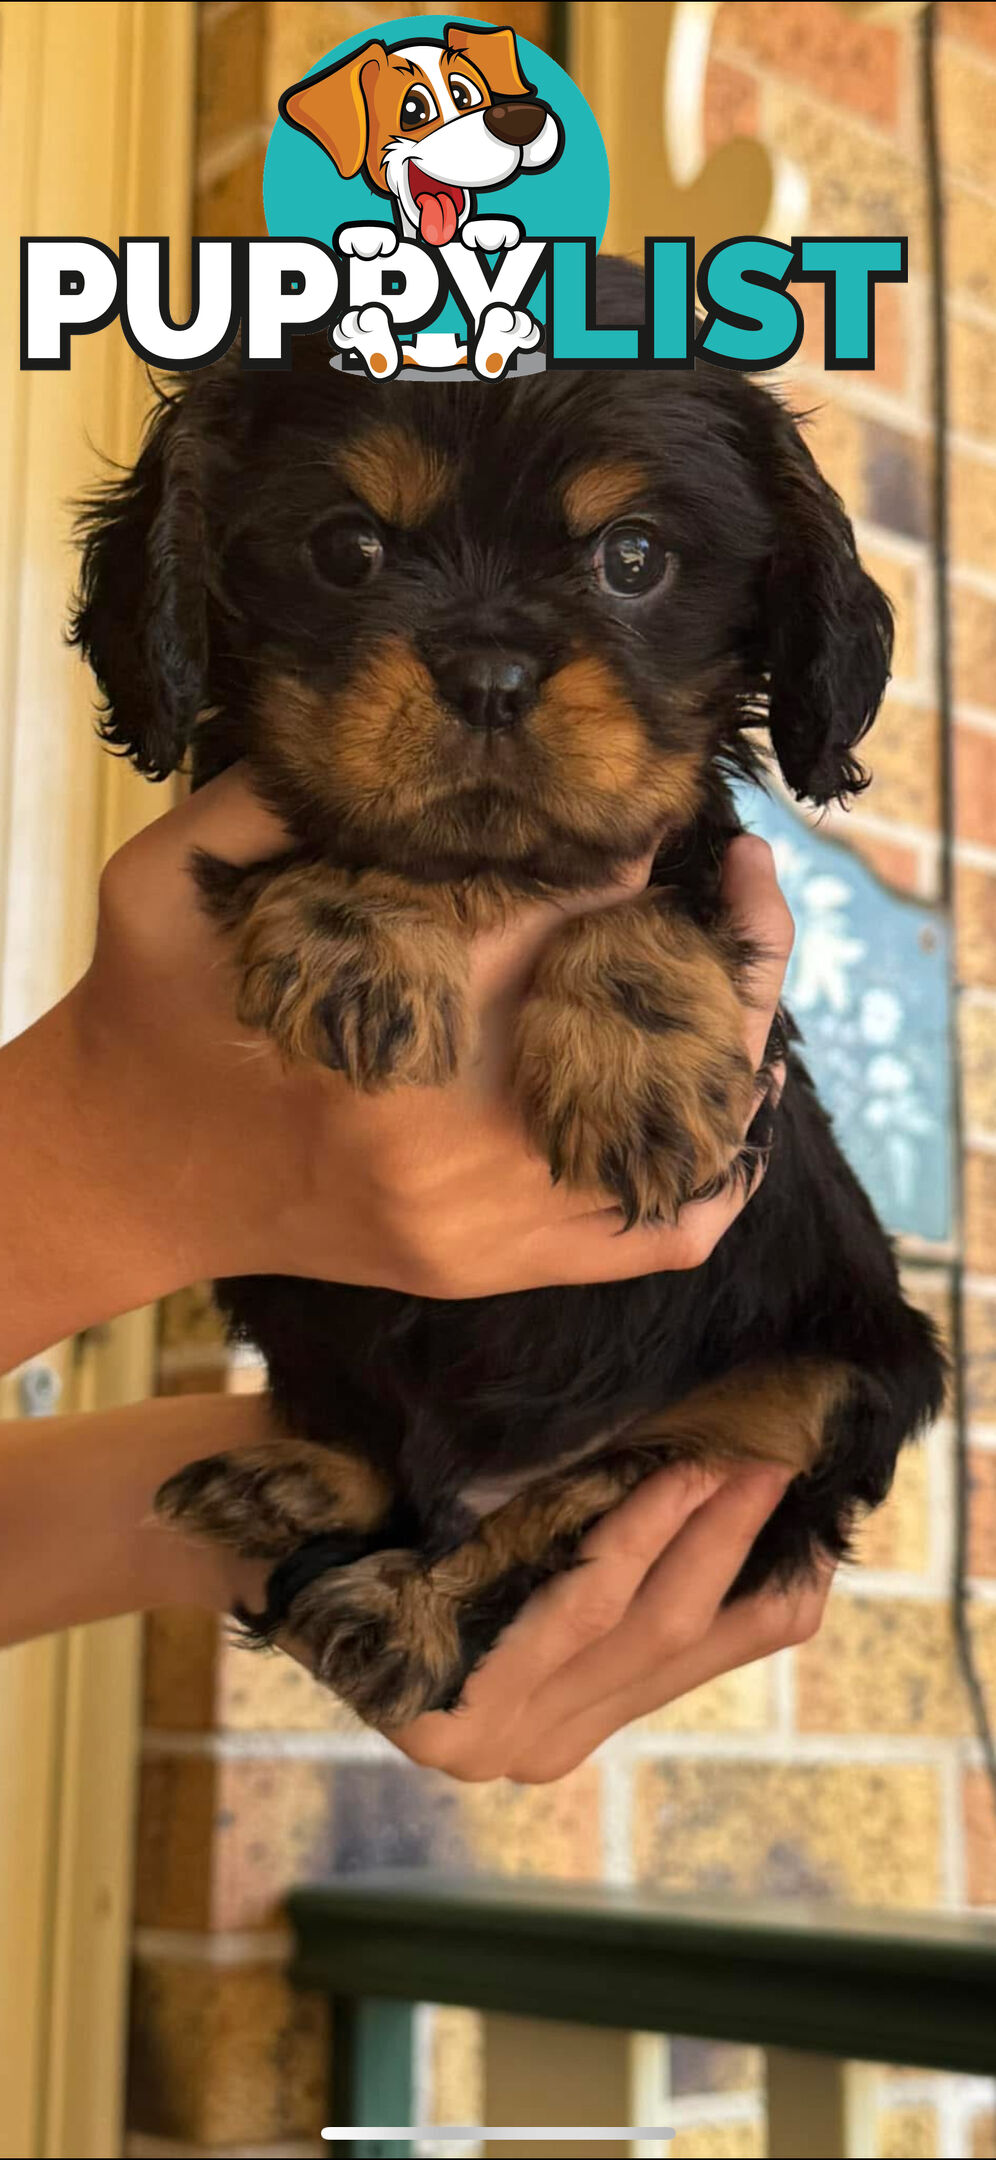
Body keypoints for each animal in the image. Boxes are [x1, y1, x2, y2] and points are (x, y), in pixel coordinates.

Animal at [73, 252, 941, 1728]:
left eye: (633, 559)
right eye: (346, 550)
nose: (488, 673)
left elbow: (657, 886)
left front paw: (638, 1074)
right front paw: (360, 933)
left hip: (825, 1389)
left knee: (560, 1516)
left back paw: (406, 1611)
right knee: (384, 1459)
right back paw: (296, 1482)